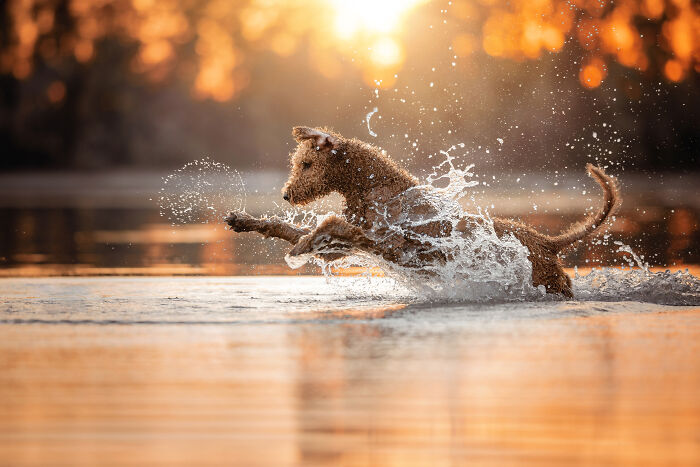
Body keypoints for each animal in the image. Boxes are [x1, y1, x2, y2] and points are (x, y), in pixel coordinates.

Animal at [227, 126, 620, 298]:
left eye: (307, 164)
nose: (286, 194)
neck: (376, 185)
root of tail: (547, 242)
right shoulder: (343, 246)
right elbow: (293, 230)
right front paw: (247, 221)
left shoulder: (389, 241)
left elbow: (332, 226)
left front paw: (304, 240)